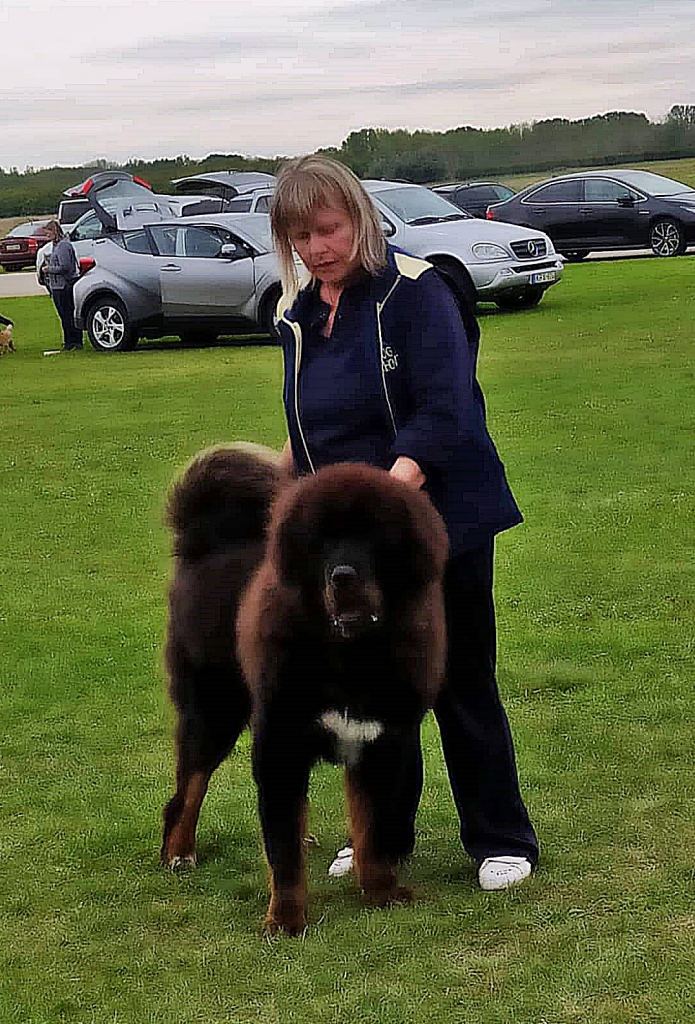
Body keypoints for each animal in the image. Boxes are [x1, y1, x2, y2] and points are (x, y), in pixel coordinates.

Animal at [237, 462, 448, 935]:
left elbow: (376, 829)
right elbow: (283, 850)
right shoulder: (279, 749)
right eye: (322, 541)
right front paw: (285, 919)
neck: (351, 655)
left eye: (373, 536)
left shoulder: (385, 744)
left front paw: (382, 891)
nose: (343, 575)